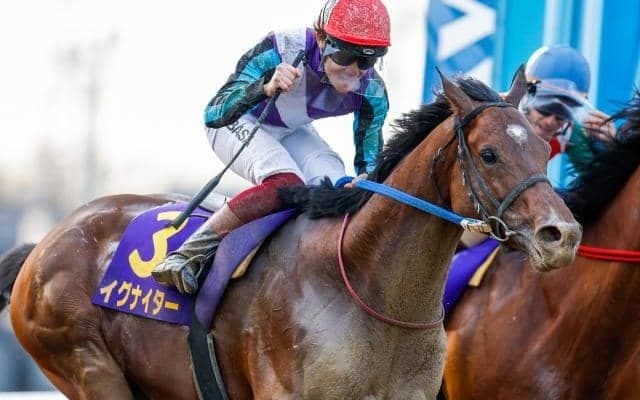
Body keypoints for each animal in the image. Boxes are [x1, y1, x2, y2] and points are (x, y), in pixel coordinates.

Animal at [0, 69, 581, 400]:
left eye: (543, 148)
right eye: (490, 153)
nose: (563, 234)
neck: (368, 286)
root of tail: (47, 243)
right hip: (85, 364)